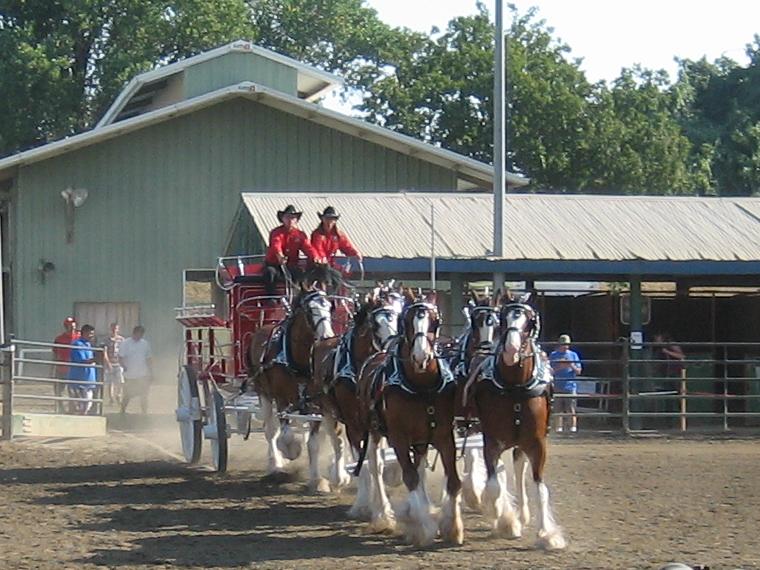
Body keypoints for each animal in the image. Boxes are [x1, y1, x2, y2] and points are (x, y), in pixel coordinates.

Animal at [248, 284, 334, 484]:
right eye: (310, 310)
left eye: (329, 306)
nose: (327, 337)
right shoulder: (281, 398)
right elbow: (285, 434)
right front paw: (291, 451)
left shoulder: (315, 403)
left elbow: (313, 443)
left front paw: (316, 479)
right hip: (263, 393)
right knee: (271, 431)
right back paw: (275, 463)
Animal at [308, 282, 404, 508]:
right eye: (376, 323)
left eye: (398, 316)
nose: (394, 347)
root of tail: (324, 340)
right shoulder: (353, 423)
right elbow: (362, 461)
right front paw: (363, 501)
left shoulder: (374, 422)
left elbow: (376, 461)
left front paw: (381, 501)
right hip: (327, 410)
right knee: (336, 440)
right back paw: (338, 477)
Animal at [358, 288, 464, 544]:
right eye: (406, 321)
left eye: (435, 321)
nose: (421, 357)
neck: (421, 385)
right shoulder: (399, 437)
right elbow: (410, 477)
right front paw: (423, 527)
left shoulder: (444, 435)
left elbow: (452, 480)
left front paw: (452, 527)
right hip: (374, 430)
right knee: (376, 465)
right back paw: (383, 513)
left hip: (422, 437)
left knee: (420, 464)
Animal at [464, 290, 564, 548]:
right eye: (504, 319)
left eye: (528, 321)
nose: (510, 350)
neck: (515, 387)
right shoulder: (491, 441)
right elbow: (493, 485)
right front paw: (504, 521)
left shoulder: (538, 443)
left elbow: (540, 488)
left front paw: (547, 534)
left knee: (519, 468)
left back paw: (523, 513)